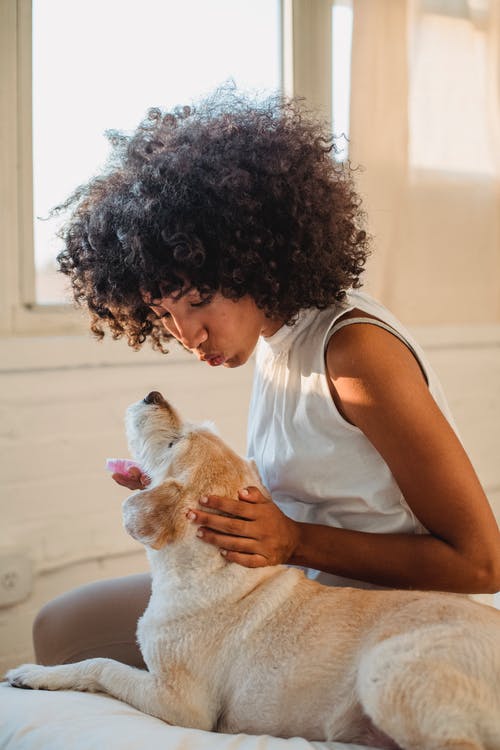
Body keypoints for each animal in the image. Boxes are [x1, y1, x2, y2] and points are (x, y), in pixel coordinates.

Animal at [6, 394, 500, 750]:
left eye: (174, 445)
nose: (153, 394)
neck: (209, 571)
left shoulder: (182, 704)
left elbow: (102, 666)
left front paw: (34, 674)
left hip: (389, 671)